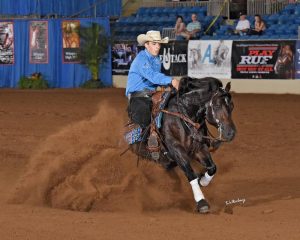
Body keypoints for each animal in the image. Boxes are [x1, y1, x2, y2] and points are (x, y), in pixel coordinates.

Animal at [130, 77, 236, 214]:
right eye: (217, 106)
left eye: (232, 106)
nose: (231, 133)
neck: (185, 116)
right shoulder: (177, 150)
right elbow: (191, 174)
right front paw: (201, 202)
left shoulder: (199, 148)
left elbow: (212, 168)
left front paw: (203, 181)